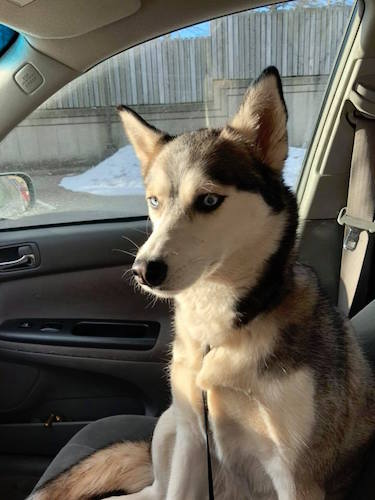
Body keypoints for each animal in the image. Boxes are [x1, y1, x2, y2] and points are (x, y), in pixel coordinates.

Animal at [29, 67, 375, 500]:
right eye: (154, 201)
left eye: (209, 200)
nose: (143, 270)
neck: (226, 327)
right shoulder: (194, 436)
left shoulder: (297, 478)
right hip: (170, 428)